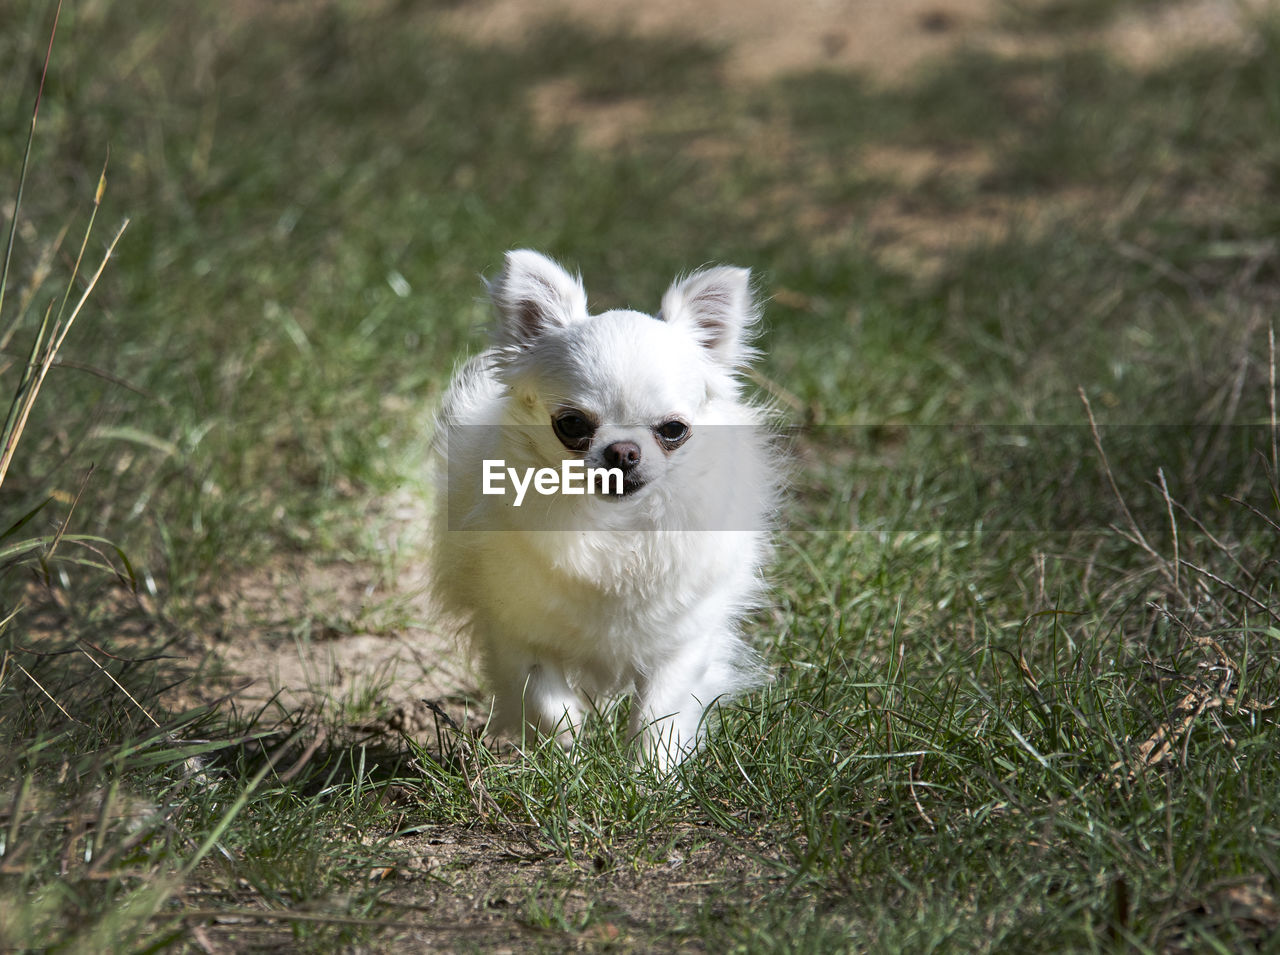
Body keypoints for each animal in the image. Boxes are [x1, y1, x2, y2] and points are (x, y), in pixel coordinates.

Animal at [432, 249, 778, 768]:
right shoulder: (516, 634)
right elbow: (549, 705)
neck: (615, 529)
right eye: (572, 424)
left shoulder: (681, 642)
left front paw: (651, 777)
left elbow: (660, 715)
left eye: (673, 430)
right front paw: (567, 766)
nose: (623, 451)